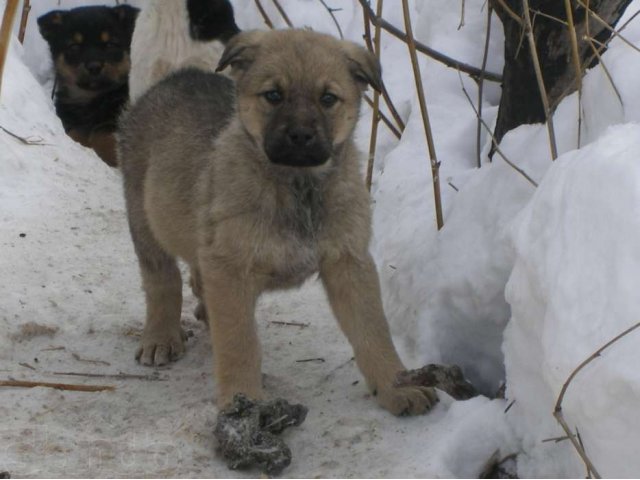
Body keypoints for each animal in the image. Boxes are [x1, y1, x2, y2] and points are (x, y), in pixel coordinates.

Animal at [38, 4, 138, 167]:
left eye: (110, 44)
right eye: (74, 46)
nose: (94, 66)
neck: (90, 101)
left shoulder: (112, 120)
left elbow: (104, 136)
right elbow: (76, 134)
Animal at [117, 29, 438, 416]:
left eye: (327, 98)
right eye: (273, 95)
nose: (300, 136)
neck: (298, 186)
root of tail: (175, 77)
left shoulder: (348, 262)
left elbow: (373, 332)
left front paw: (397, 385)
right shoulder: (231, 268)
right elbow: (239, 343)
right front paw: (243, 401)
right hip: (143, 217)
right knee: (162, 280)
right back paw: (161, 336)